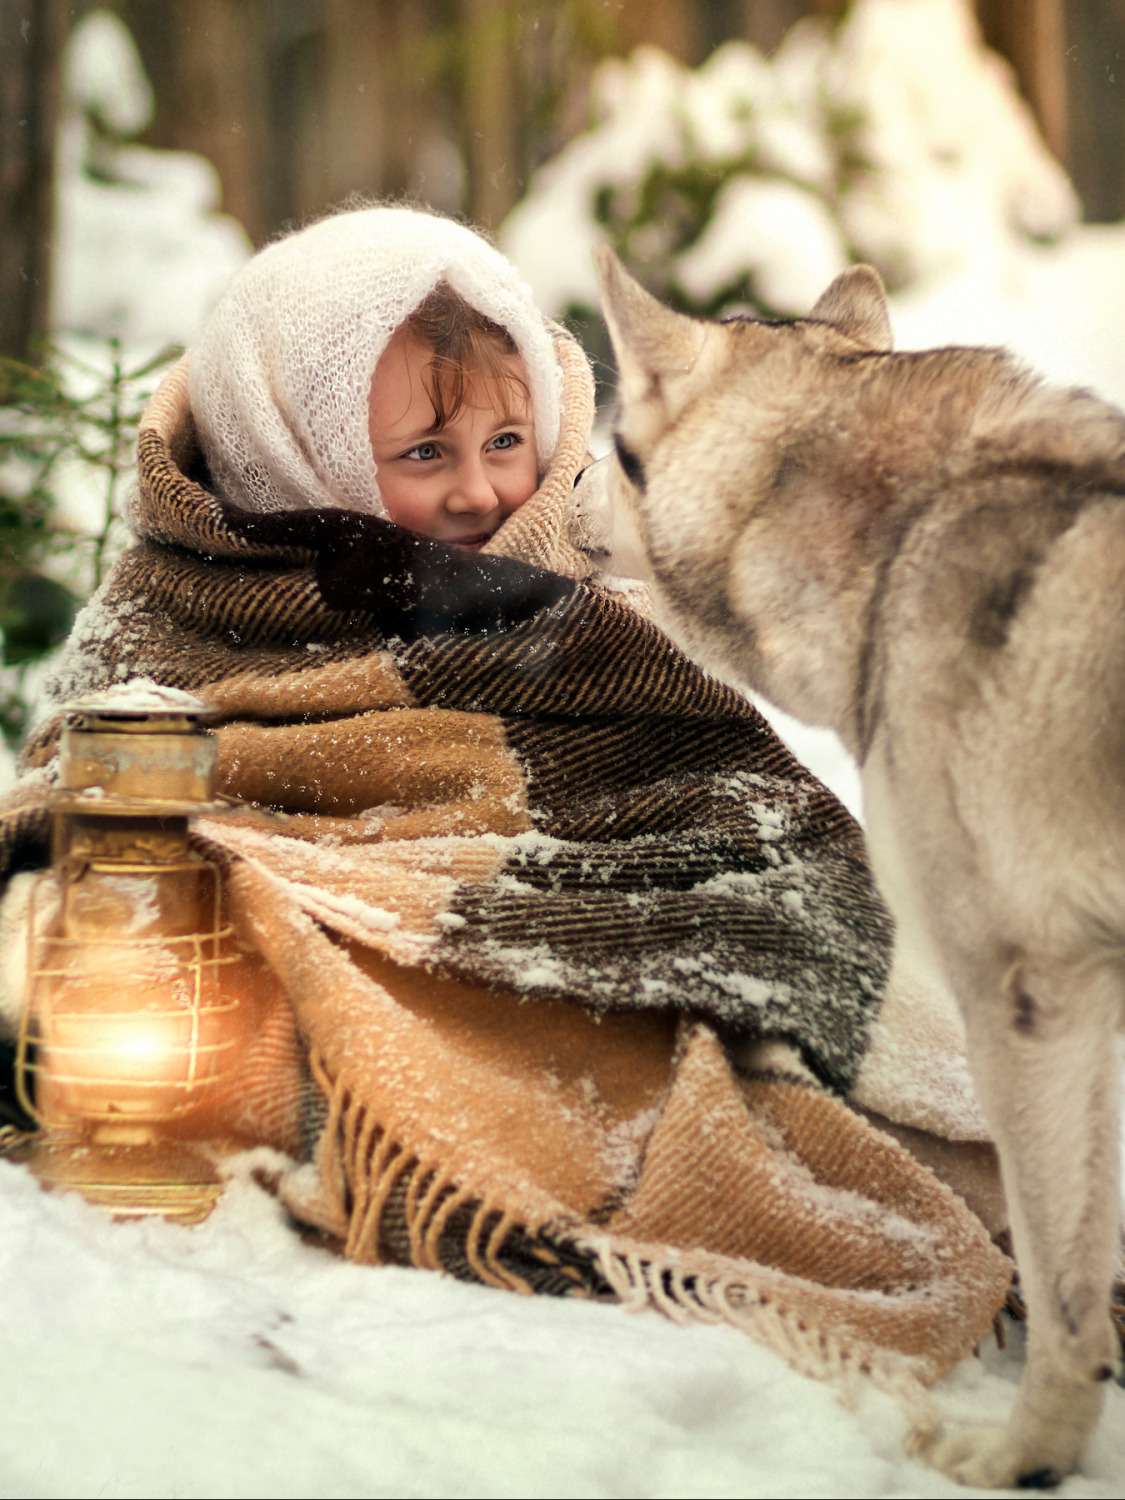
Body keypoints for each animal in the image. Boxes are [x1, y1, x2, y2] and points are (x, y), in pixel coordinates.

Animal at [582, 249, 1125, 1488]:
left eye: (611, 443)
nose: (561, 479)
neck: (894, 534)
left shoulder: (1029, 1002)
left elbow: (1063, 1288)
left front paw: (1026, 1460)